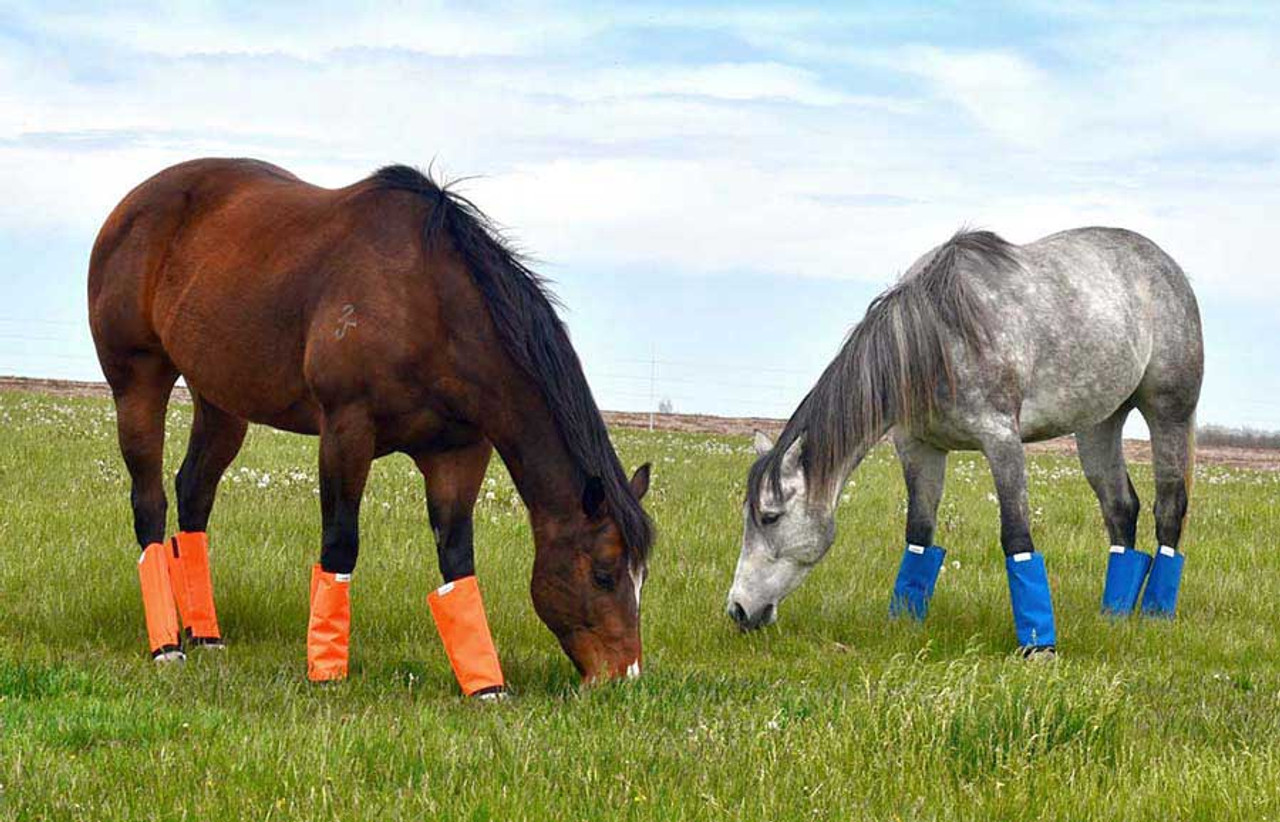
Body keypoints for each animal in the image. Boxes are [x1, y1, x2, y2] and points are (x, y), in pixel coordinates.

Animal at [90, 156, 655, 681]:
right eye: (604, 574)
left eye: (642, 577)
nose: (622, 676)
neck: (428, 305)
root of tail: (130, 206)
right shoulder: (346, 429)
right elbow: (340, 544)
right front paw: (326, 670)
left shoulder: (459, 453)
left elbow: (457, 558)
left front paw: (485, 684)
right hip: (138, 381)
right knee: (150, 503)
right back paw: (167, 645)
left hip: (222, 399)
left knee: (194, 494)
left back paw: (205, 634)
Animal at [732, 227, 1198, 650]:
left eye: (770, 516)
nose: (738, 609)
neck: (935, 338)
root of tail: (1165, 265)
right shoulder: (919, 447)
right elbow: (919, 533)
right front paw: (905, 619)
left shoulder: (1001, 440)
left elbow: (1016, 536)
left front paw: (1038, 644)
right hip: (1099, 423)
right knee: (1120, 507)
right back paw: (1114, 612)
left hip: (1169, 412)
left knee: (1169, 507)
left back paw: (1155, 612)